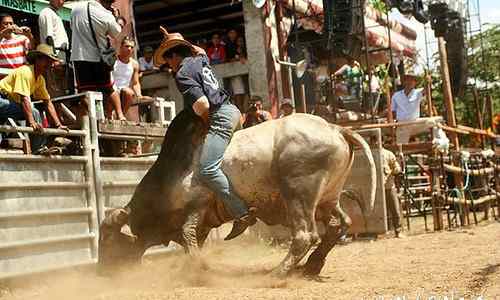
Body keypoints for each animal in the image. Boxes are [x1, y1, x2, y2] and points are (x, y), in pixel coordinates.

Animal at [98, 110, 376, 276]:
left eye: (108, 238)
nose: (102, 270)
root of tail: (336, 128)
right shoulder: (203, 221)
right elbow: (192, 241)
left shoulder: (197, 206)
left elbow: (188, 235)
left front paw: (198, 269)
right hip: (328, 197)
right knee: (339, 224)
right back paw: (312, 265)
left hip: (298, 193)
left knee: (305, 235)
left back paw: (277, 273)